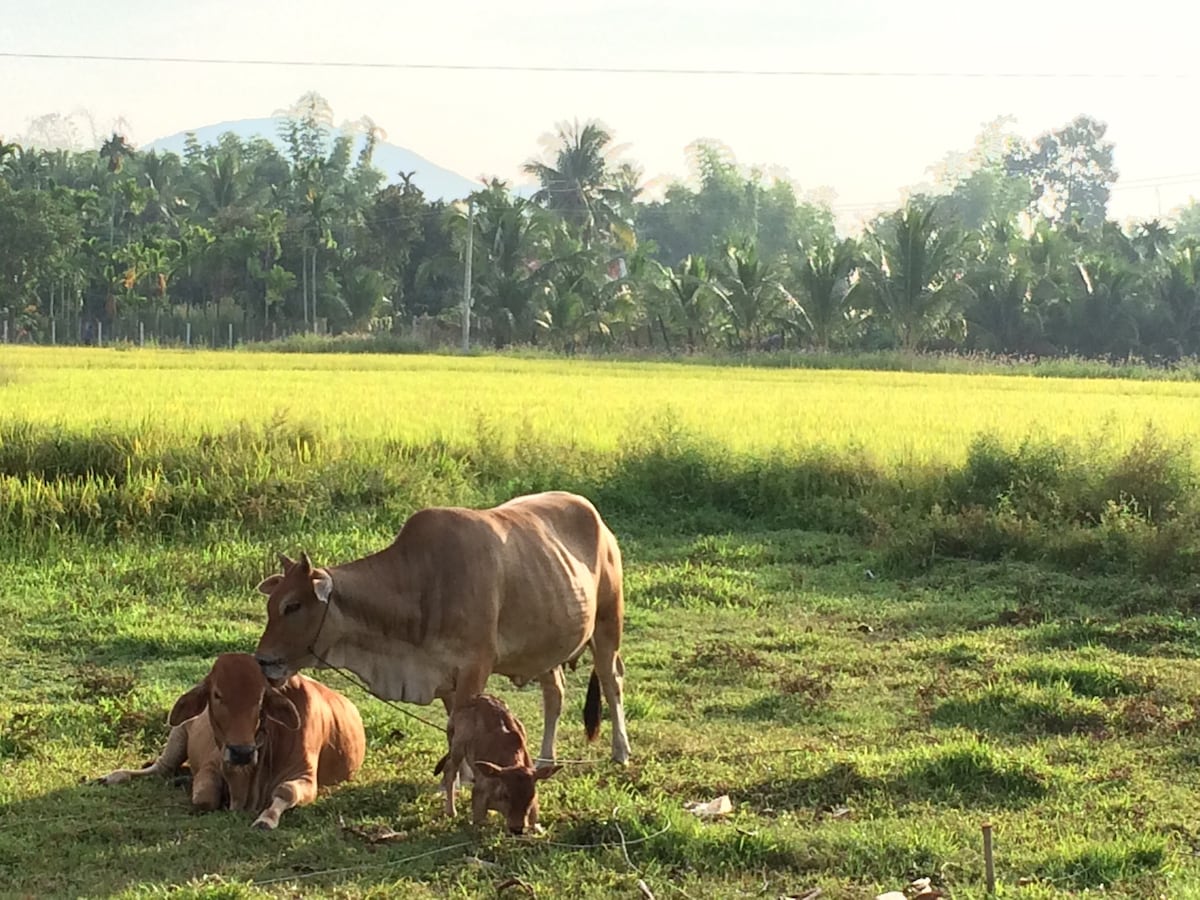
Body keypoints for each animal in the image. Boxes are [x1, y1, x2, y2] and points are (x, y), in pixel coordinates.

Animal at [97, 657, 364, 830]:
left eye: (261, 699)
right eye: (217, 694)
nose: (241, 752)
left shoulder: (306, 776)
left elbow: (286, 791)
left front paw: (266, 819)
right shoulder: (212, 765)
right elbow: (205, 798)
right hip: (178, 734)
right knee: (159, 768)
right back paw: (114, 776)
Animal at [249, 494, 633, 768]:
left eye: (292, 606)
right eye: (271, 605)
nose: (263, 661)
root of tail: (598, 520)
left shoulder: (475, 669)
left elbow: (464, 729)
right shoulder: (445, 678)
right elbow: (453, 730)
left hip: (607, 626)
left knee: (611, 680)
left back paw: (621, 750)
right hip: (547, 646)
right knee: (555, 693)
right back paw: (545, 759)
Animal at [434, 696, 559, 840]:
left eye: (530, 796)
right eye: (506, 795)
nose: (517, 829)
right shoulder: (479, 795)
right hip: (457, 744)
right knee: (450, 770)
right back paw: (451, 812)